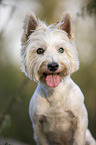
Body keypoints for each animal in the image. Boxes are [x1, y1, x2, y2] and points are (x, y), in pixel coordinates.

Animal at [20, 12, 96, 145]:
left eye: (61, 49)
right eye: (40, 50)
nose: (53, 66)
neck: (54, 94)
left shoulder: (80, 122)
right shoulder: (38, 128)